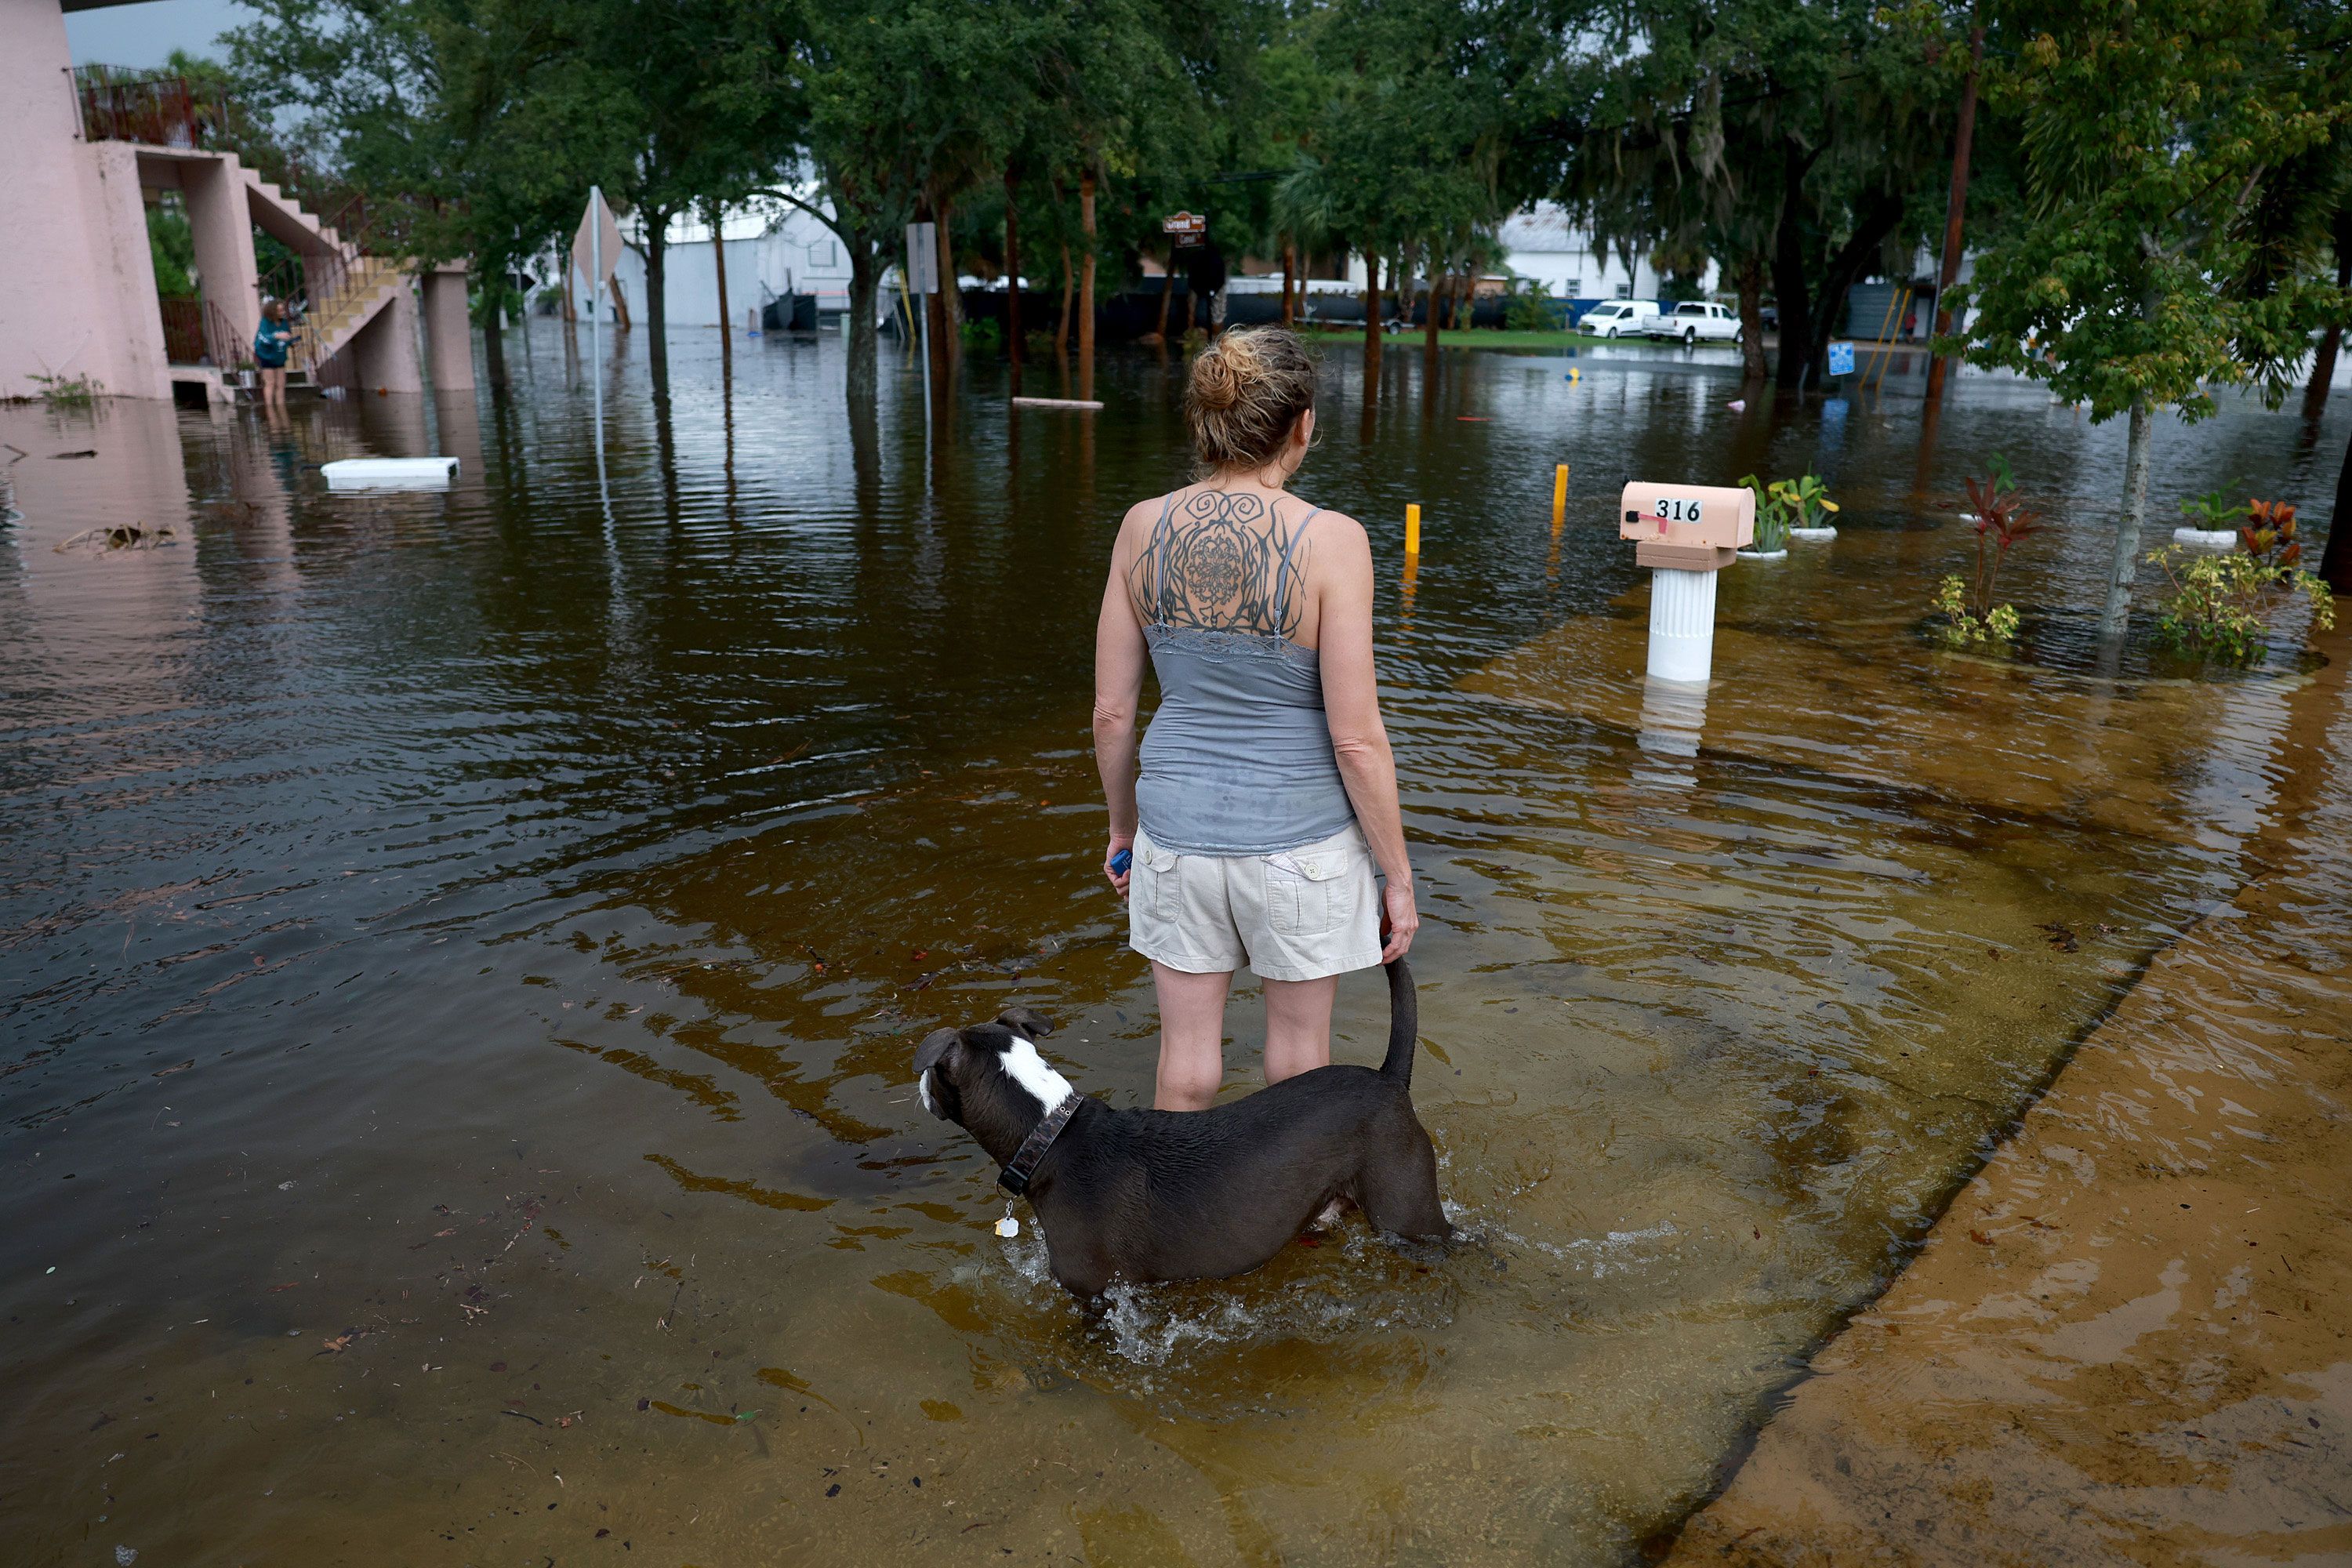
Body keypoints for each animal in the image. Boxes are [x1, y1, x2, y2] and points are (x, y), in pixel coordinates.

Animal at [913, 959, 1449, 1298]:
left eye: (932, 1072)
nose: (918, 1084)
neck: (1050, 1134)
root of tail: (1389, 1079)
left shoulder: (1093, 1294)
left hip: (1408, 1213)